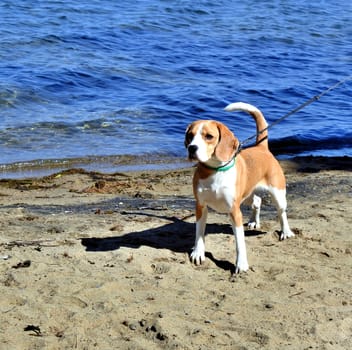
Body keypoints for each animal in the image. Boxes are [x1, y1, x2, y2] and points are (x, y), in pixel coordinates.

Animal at [184, 102, 294, 274]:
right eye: (190, 135)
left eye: (209, 136)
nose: (191, 148)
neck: (215, 171)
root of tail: (261, 148)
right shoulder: (200, 206)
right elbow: (199, 233)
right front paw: (198, 253)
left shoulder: (234, 211)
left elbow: (240, 242)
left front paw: (241, 264)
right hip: (247, 195)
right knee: (257, 201)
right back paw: (254, 221)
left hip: (278, 194)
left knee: (281, 212)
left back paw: (286, 231)